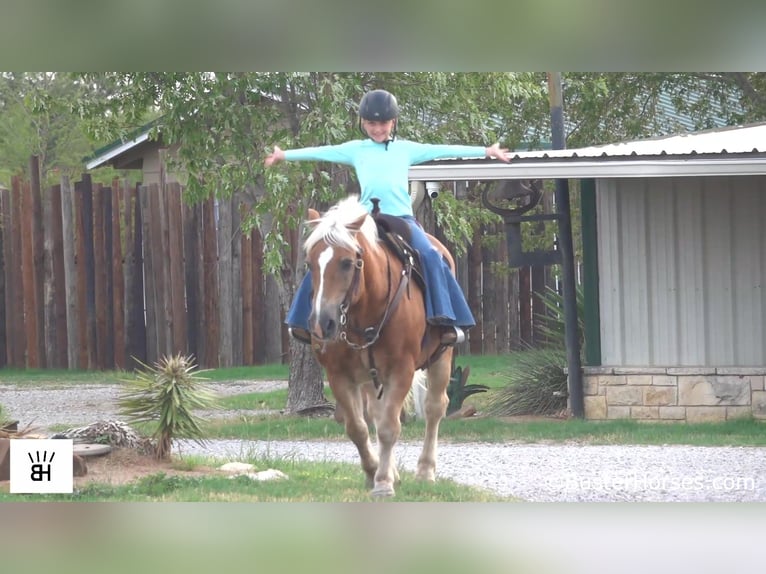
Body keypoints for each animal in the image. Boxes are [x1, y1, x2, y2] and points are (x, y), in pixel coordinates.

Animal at [304, 196, 456, 498]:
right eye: (310, 263)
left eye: (347, 262)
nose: (322, 324)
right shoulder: (339, 376)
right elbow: (357, 428)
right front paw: (374, 471)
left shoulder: (401, 371)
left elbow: (388, 427)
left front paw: (383, 482)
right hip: (369, 378)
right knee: (375, 413)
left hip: (441, 358)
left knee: (434, 408)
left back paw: (425, 470)